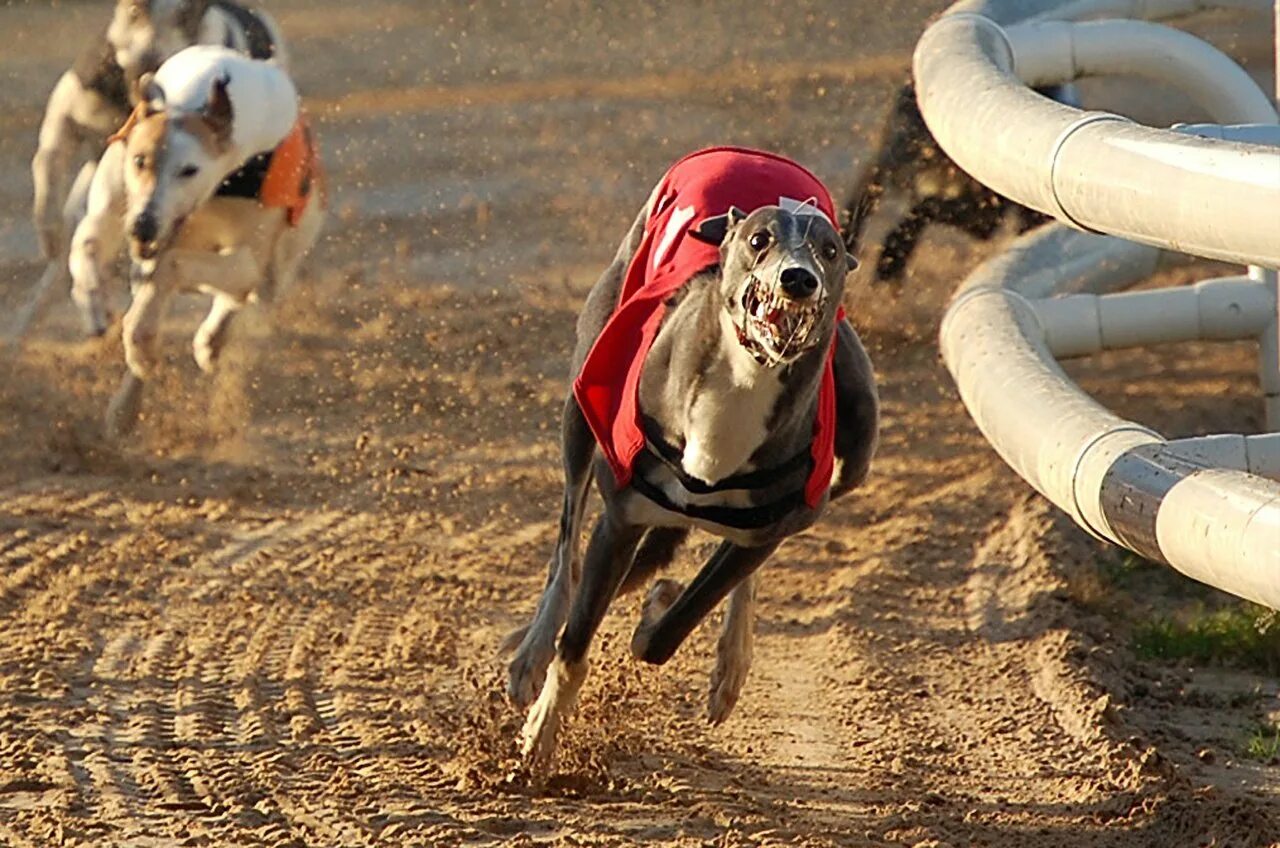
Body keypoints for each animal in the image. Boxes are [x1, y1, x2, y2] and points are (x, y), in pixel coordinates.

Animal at [68, 44, 325, 438]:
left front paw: (143, 339)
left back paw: (208, 341)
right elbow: (88, 246)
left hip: (279, 264)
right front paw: (95, 303)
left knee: (241, 295)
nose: (142, 227)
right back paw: (127, 405)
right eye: (140, 160)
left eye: (189, 169)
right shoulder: (116, 210)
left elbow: (173, 269)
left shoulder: (246, 258)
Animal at [504, 149, 875, 773]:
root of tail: (751, 153)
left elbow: (669, 630)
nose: (799, 279)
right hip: (583, 400)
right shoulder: (621, 517)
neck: (743, 383)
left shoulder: (774, 524)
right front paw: (539, 738)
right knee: (565, 552)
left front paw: (659, 611)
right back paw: (529, 652)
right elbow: (574, 642)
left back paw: (729, 662)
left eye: (828, 250)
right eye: (759, 240)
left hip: (854, 447)